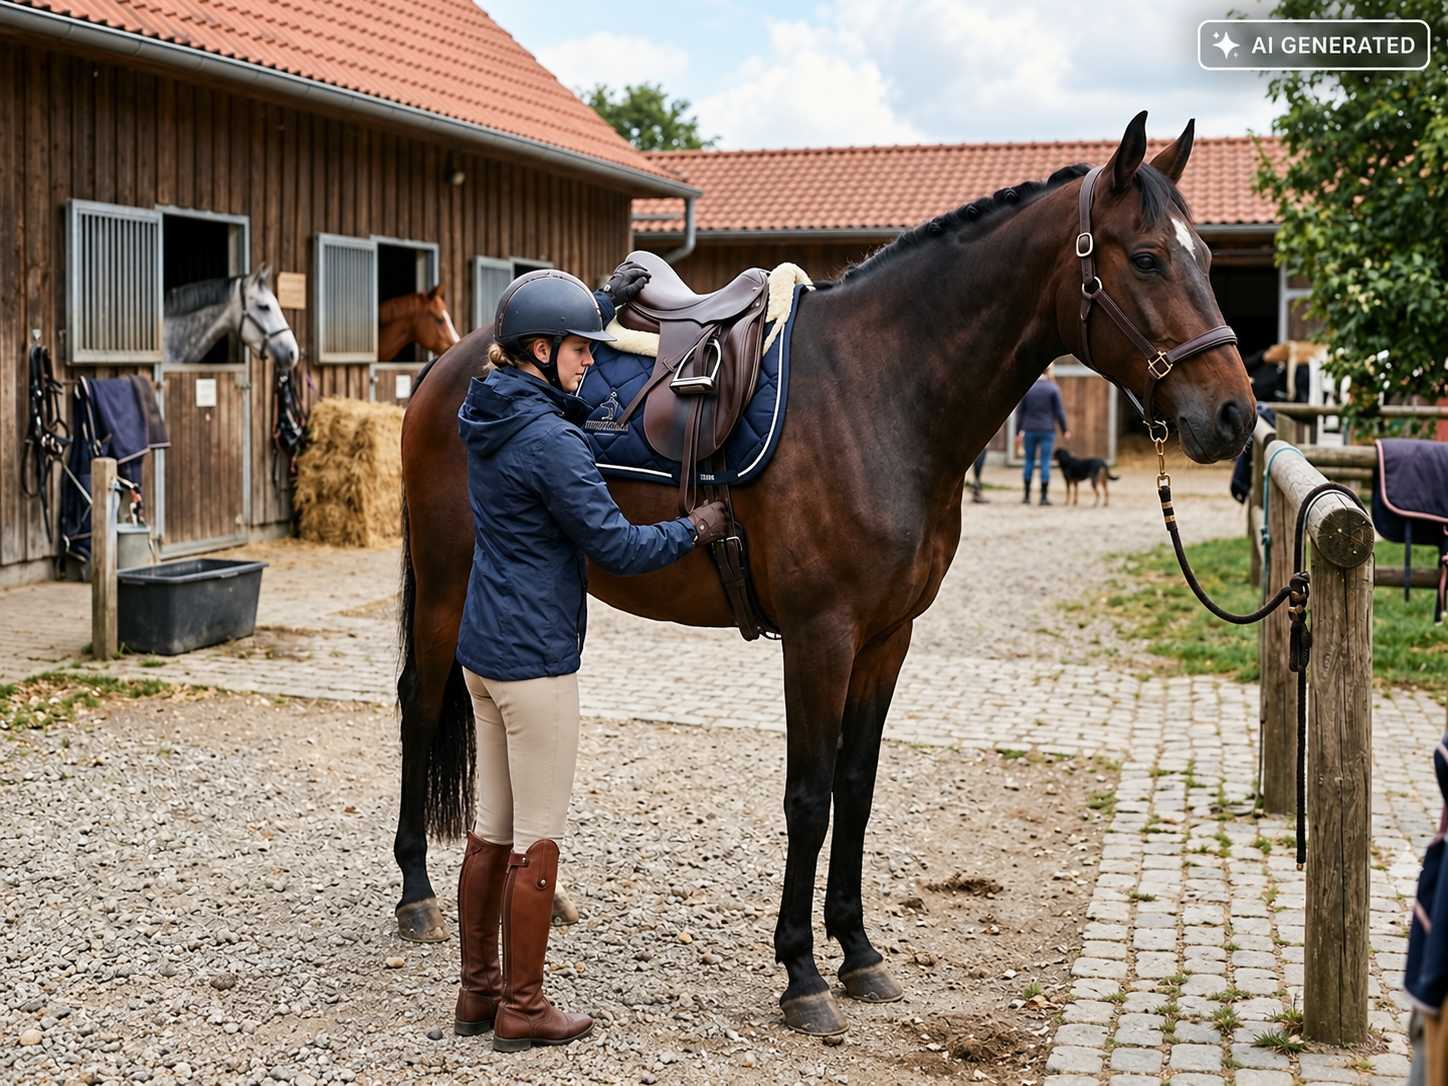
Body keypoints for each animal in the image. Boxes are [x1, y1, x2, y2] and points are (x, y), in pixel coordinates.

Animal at [392, 112, 1256, 1034]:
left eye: (1208, 255)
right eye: (1147, 258)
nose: (1234, 414)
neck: (879, 395)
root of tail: (456, 365)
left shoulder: (885, 639)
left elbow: (857, 788)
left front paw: (859, 952)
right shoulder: (820, 636)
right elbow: (808, 799)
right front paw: (801, 972)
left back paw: (544, 898)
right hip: (446, 581)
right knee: (420, 704)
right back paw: (415, 892)